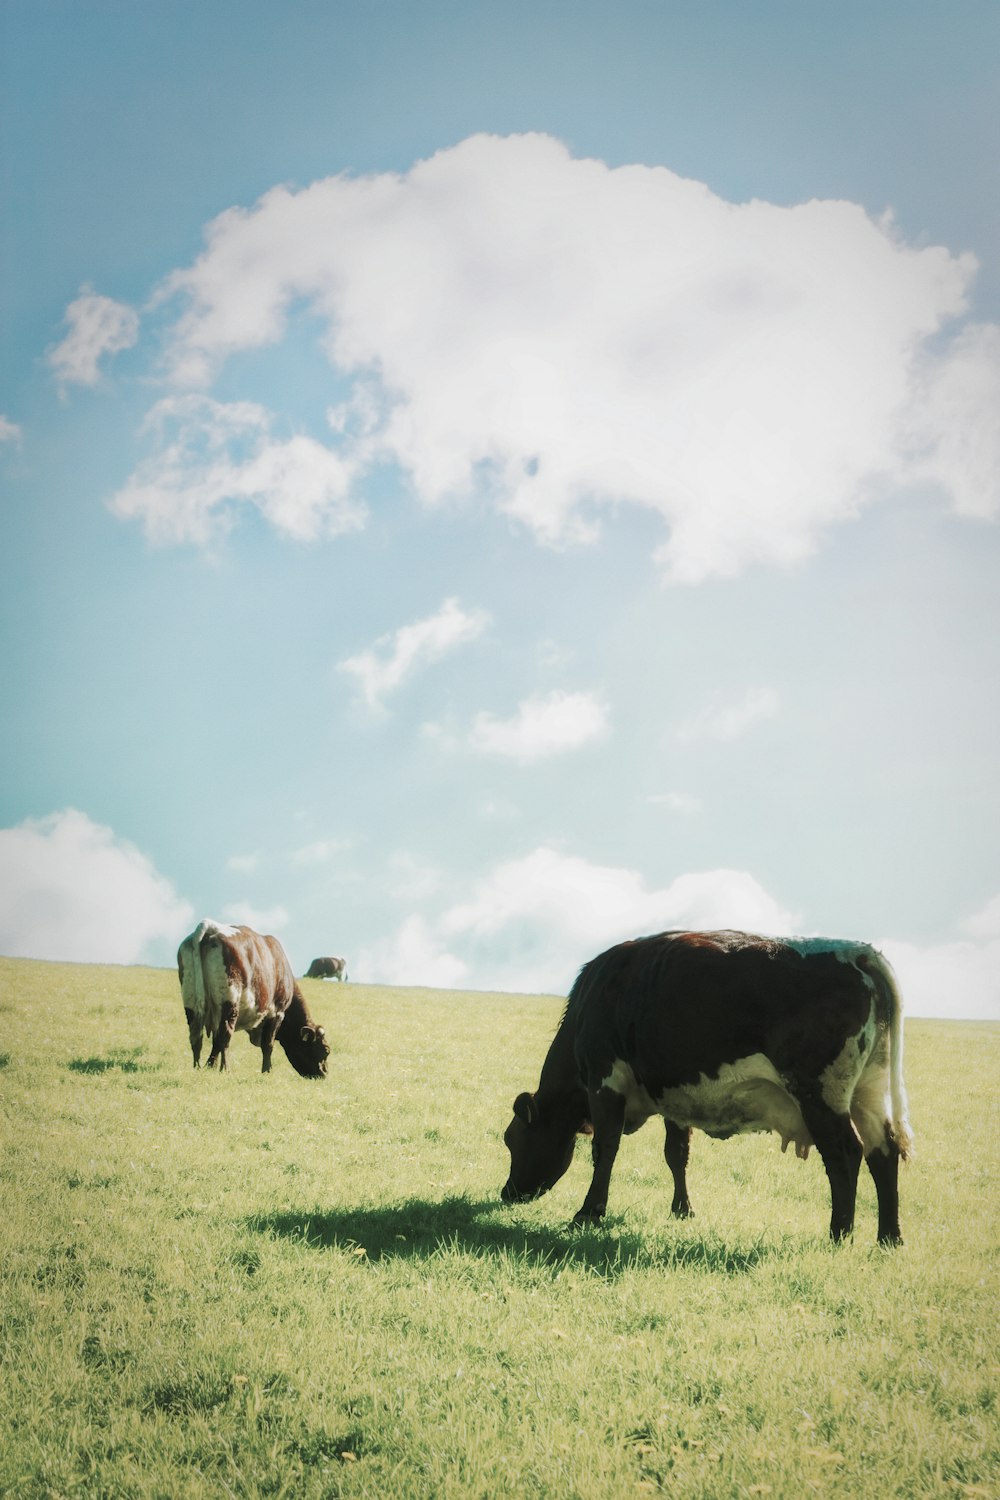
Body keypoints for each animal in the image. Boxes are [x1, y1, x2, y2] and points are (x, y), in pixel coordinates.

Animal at [177, 912, 329, 1080]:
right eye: (325, 1050)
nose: (324, 1074)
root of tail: (211, 928)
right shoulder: (277, 1012)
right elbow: (268, 1044)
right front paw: (267, 1071)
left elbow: (215, 1043)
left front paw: (210, 1066)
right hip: (230, 1002)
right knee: (225, 1036)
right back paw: (225, 1069)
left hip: (191, 1001)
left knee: (196, 1036)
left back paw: (197, 1068)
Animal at [500, 930, 917, 1248]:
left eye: (511, 1139)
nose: (507, 1193)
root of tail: (856, 951)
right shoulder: (674, 1094)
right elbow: (677, 1154)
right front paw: (682, 1210)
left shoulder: (605, 1082)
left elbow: (605, 1149)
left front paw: (589, 1213)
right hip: (869, 1092)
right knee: (883, 1152)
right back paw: (889, 1237)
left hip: (821, 1094)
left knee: (845, 1154)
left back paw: (839, 1234)